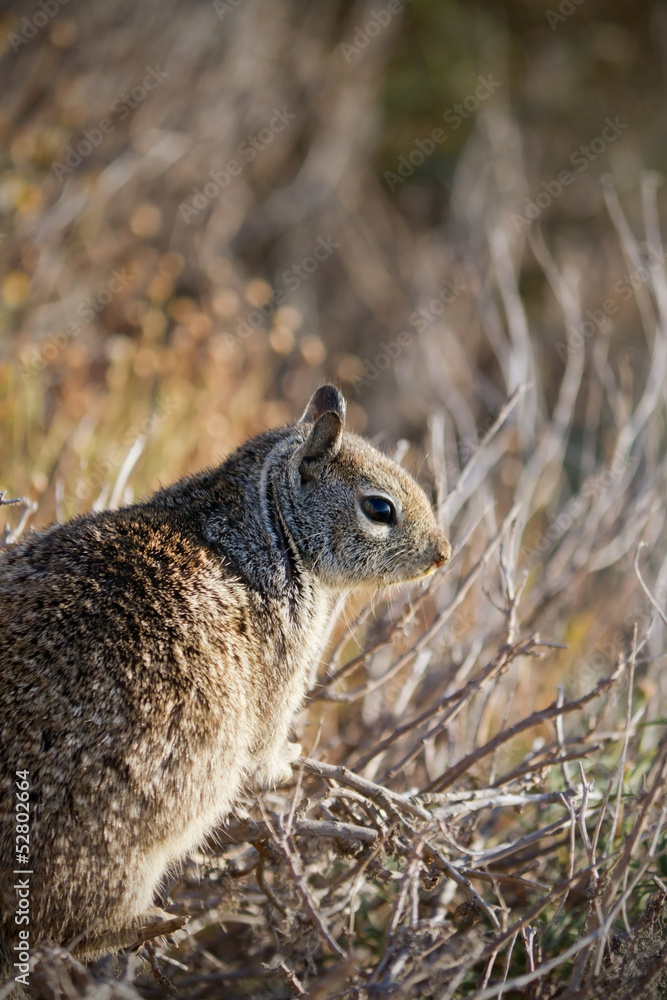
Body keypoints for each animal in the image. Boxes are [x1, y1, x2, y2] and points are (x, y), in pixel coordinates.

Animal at [0, 384, 450, 984]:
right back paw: (151, 922)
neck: (268, 521)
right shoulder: (283, 677)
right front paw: (286, 762)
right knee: (79, 928)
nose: (442, 554)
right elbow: (265, 750)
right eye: (380, 508)